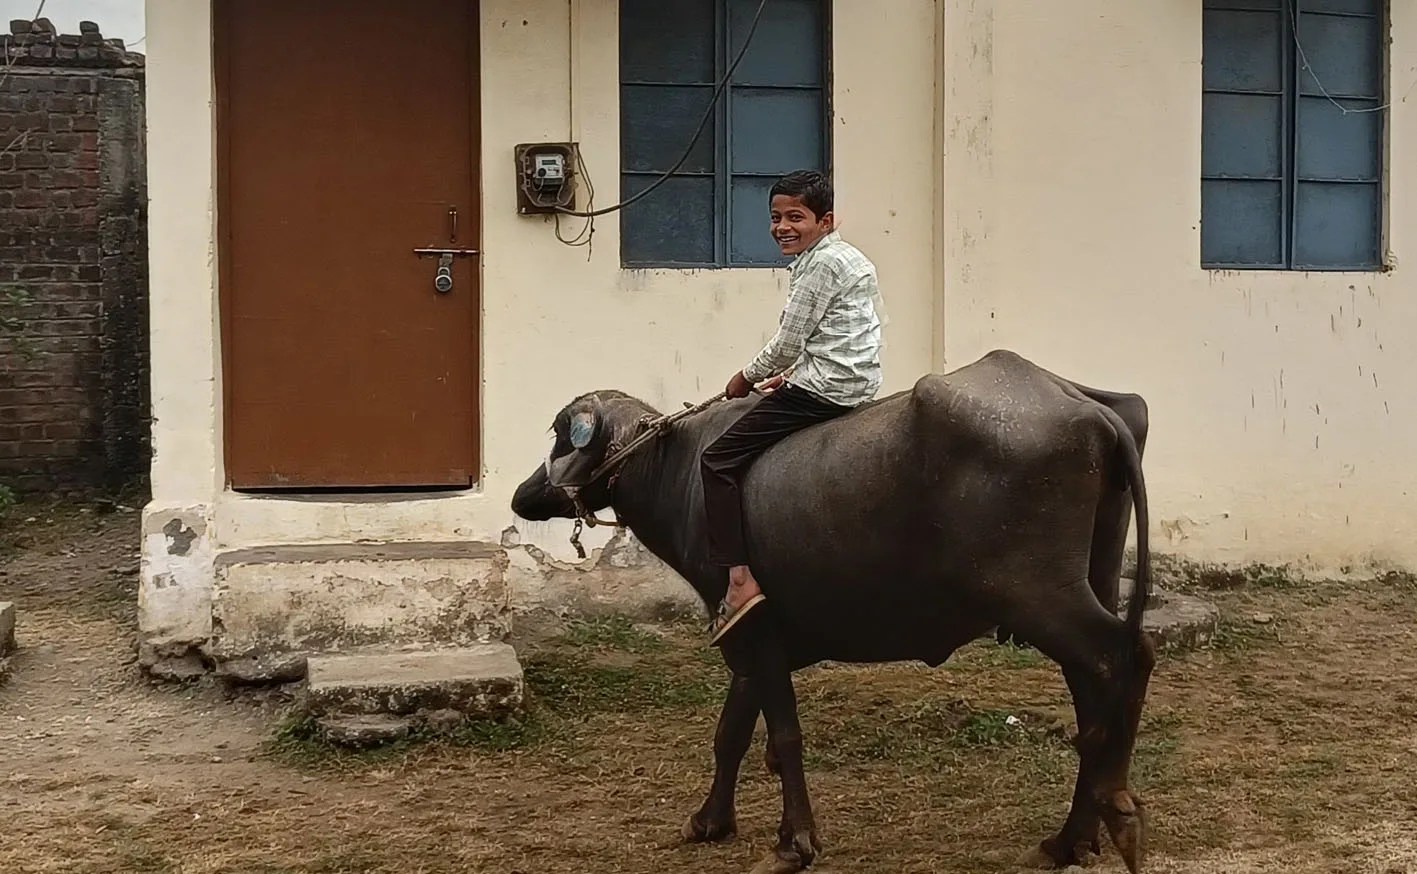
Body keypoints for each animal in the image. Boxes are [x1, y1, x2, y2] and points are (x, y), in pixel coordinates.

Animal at [511, 349, 1156, 873]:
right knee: (1098, 688)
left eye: (562, 436)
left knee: (1122, 657)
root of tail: (1091, 411)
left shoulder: (756, 633)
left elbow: (784, 735)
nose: (523, 494)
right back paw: (1074, 837)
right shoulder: (749, 641)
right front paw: (709, 821)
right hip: (1088, 581)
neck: (681, 474)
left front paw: (794, 842)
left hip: (1038, 595)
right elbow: (732, 733)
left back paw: (1115, 813)